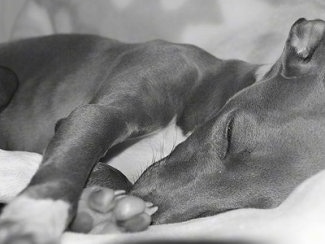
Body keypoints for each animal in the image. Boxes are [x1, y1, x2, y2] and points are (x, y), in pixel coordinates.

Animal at [0, 18, 324, 243]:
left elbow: (115, 177)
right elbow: (92, 161)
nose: (145, 201)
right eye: (230, 134)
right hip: (8, 78)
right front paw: (35, 215)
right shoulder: (99, 112)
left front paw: (99, 213)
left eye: (249, 204)